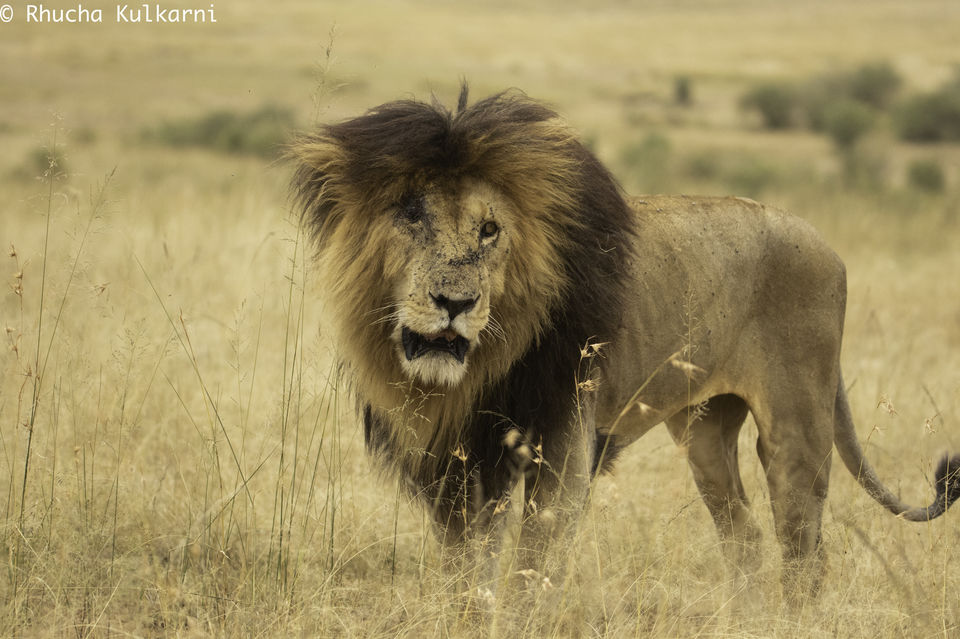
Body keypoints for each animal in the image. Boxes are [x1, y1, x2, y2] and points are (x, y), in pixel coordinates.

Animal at [290, 84, 960, 600]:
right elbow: (468, 580)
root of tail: (826, 244)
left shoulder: (562, 447)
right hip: (704, 430)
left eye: (489, 231)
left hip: (797, 427)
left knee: (804, 555)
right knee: (743, 539)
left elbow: (532, 573)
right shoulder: (459, 464)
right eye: (411, 215)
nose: (455, 303)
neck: (476, 371)